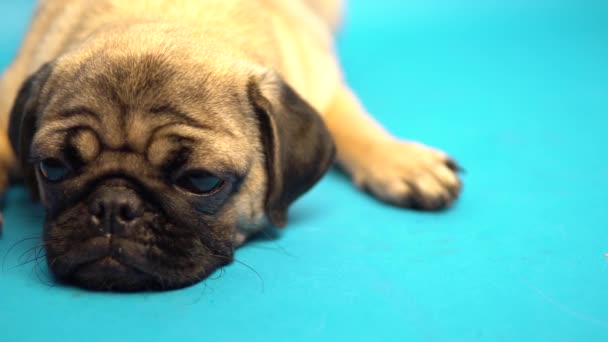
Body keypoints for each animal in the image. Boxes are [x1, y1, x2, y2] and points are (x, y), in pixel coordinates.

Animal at [0, 0, 460, 290]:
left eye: (202, 181)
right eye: (53, 168)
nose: (114, 205)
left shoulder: (324, 85)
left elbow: (353, 125)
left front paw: (403, 161)